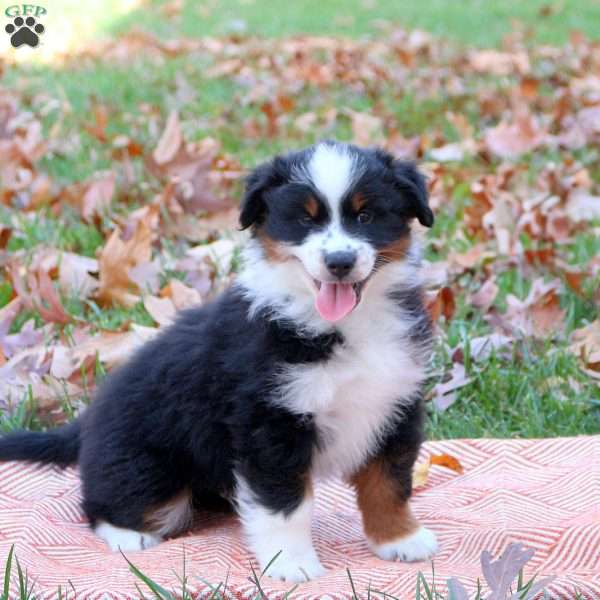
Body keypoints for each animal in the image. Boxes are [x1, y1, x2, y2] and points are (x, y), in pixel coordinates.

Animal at [1, 139, 440, 580]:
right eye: (304, 220)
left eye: (366, 216)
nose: (339, 262)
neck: (339, 325)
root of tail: (86, 420)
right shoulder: (269, 423)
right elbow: (285, 502)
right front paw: (292, 563)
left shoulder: (394, 405)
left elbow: (389, 483)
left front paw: (399, 539)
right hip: (144, 468)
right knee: (103, 504)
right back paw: (129, 535)